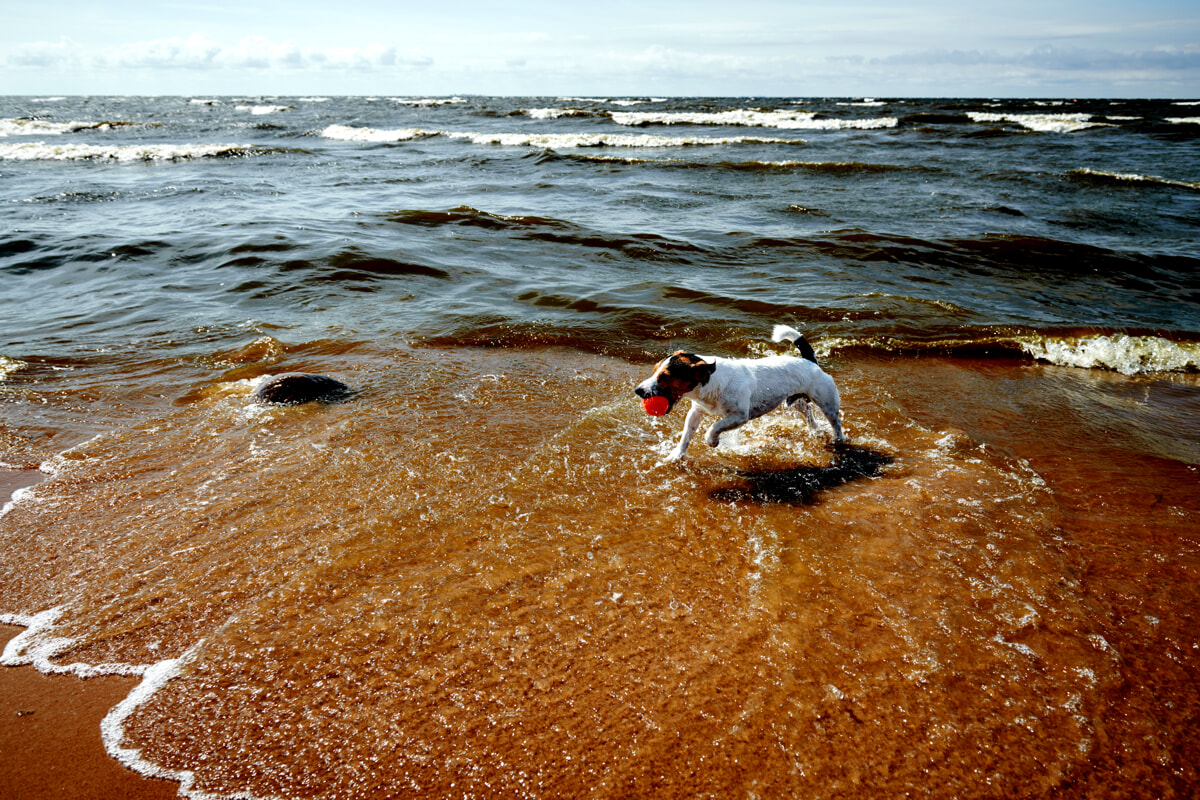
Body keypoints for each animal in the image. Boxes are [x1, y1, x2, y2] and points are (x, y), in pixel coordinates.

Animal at [638, 326, 844, 462]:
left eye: (665, 376)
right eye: (654, 370)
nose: (638, 390)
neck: (711, 381)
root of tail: (809, 361)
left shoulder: (739, 416)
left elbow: (714, 427)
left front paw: (712, 441)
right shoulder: (696, 411)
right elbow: (686, 434)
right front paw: (677, 455)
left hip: (828, 402)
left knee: (836, 423)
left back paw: (839, 441)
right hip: (796, 401)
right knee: (808, 411)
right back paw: (814, 429)